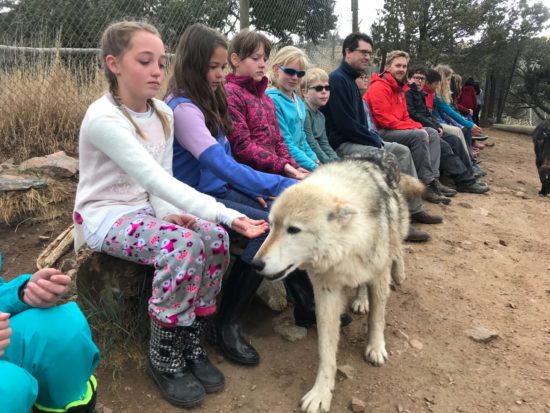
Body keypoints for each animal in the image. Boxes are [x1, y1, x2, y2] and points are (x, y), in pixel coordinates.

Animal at [252, 151, 424, 412]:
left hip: (393, 237)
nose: (255, 263)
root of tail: (381, 152)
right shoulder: (326, 293)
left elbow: (377, 318)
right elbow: (326, 351)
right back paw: (361, 300)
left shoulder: (378, 275)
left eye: (293, 229)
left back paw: (399, 273)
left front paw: (376, 348)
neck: (346, 243)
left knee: (398, 247)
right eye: (271, 225)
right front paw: (321, 393)